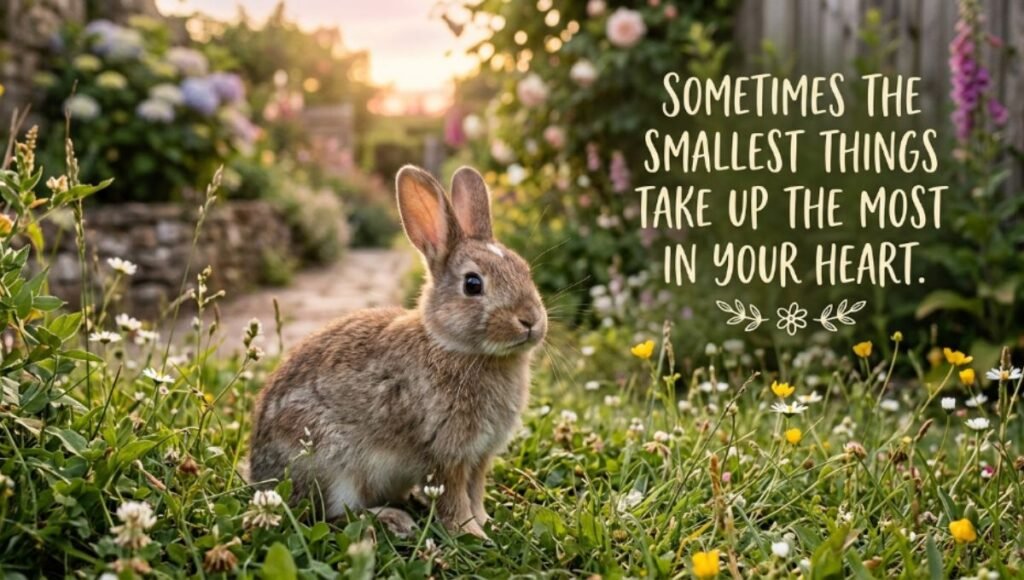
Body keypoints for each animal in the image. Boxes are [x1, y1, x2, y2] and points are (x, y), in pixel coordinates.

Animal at [249, 165, 547, 539]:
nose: (531, 321)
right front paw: (471, 534)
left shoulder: (479, 457)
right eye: (473, 284)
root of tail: (261, 480)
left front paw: (487, 524)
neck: (452, 346)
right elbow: (454, 498)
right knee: (332, 515)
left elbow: (475, 492)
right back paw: (393, 519)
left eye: (525, 270)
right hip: (330, 465)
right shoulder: (446, 454)